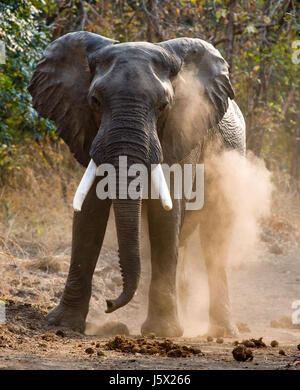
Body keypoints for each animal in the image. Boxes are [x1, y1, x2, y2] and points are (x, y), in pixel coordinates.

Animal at [27, 30, 245, 336]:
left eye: (163, 105)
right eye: (94, 101)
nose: (109, 303)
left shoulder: (182, 130)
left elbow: (165, 215)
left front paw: (162, 333)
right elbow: (89, 213)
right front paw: (63, 324)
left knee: (214, 236)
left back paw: (222, 332)